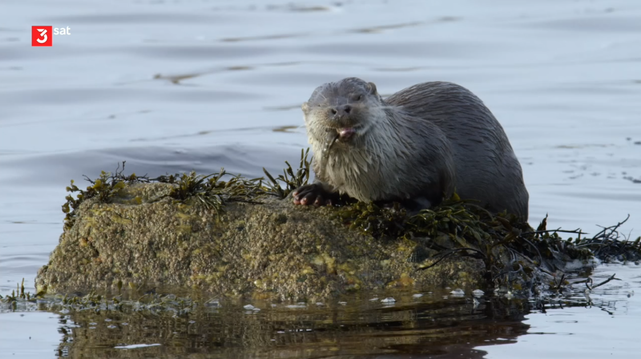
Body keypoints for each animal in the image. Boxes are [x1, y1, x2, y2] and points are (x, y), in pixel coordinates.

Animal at [292, 77, 528, 221]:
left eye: (358, 97)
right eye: (322, 105)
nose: (341, 109)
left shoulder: (434, 154)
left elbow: (432, 193)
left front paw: (401, 206)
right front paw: (313, 193)